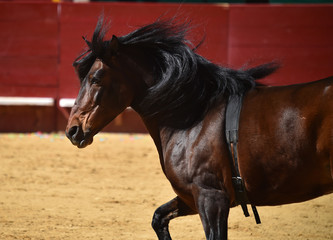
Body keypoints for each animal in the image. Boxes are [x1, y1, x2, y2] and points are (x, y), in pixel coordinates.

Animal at [65, 16, 332, 238]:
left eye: (96, 78)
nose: (72, 130)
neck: (195, 114)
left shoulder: (211, 197)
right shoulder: (192, 197)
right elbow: (158, 218)